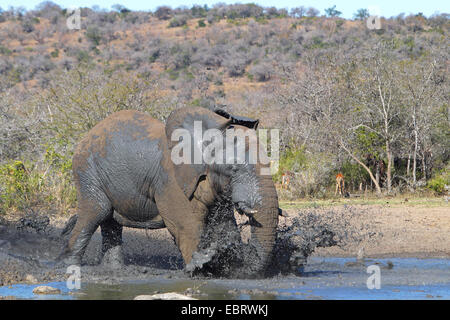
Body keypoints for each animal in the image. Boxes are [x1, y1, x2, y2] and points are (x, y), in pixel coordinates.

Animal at [61, 107, 280, 276]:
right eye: (233, 168)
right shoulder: (171, 181)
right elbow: (186, 224)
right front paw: (200, 268)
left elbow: (224, 225)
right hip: (86, 170)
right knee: (96, 213)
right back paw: (70, 267)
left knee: (110, 222)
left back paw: (114, 270)